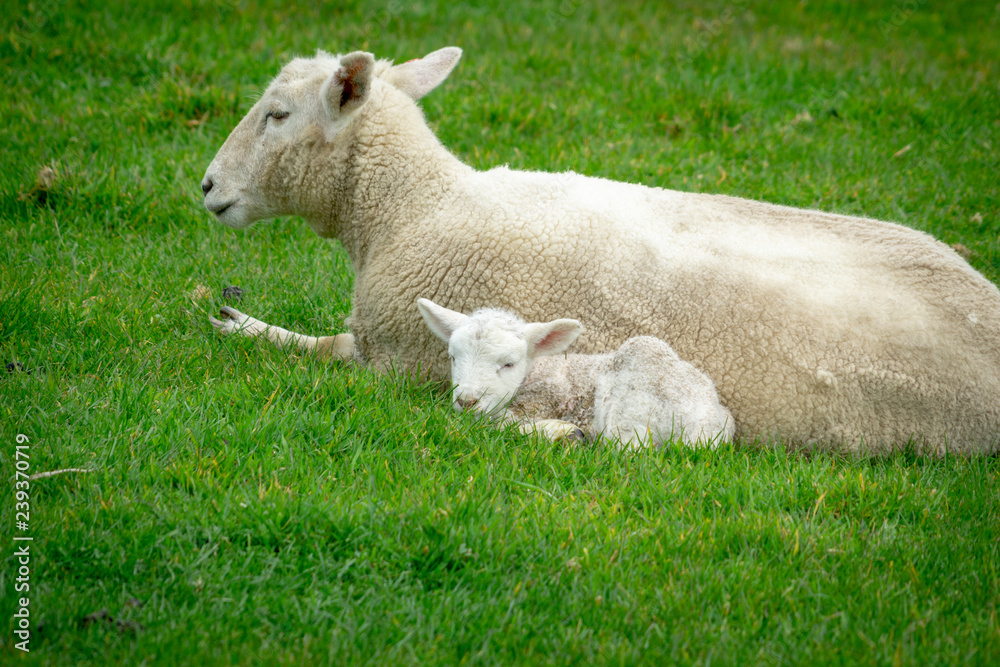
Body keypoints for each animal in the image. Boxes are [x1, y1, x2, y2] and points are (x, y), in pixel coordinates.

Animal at [415, 298, 735, 448]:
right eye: (453, 357)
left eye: (508, 364)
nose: (466, 402)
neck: (539, 369)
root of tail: (703, 422)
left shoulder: (539, 402)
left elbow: (499, 424)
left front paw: (562, 430)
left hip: (633, 396)